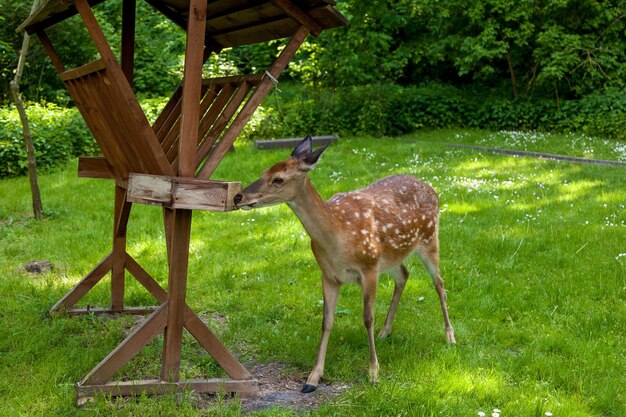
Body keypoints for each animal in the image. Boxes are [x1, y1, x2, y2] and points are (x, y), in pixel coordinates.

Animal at [233, 137, 454, 394]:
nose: (239, 197)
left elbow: (367, 318)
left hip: (429, 239)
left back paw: (450, 336)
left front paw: (374, 372)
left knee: (439, 284)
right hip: (392, 255)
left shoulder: (369, 268)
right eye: (263, 171)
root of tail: (432, 189)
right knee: (404, 274)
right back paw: (385, 332)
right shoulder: (329, 275)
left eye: (278, 179)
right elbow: (326, 321)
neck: (337, 235)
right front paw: (313, 378)